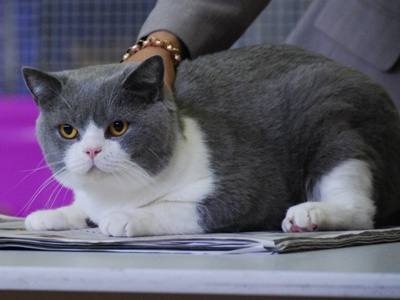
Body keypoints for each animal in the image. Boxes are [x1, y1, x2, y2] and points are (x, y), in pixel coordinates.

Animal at [21, 45, 400, 237]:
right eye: (68, 130)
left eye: (118, 127)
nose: (91, 149)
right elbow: (85, 209)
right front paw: (51, 216)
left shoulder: (246, 187)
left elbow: (184, 209)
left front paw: (125, 218)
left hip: (337, 123)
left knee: (361, 210)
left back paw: (311, 214)